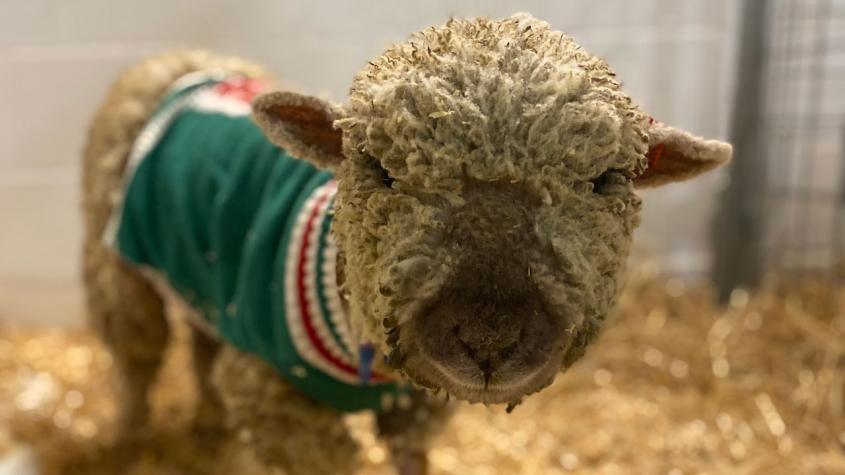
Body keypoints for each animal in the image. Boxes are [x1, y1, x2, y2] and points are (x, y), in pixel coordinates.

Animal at [84, 11, 732, 475]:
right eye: (379, 169)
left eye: (605, 179)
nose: (490, 339)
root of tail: (188, 63)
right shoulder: (277, 408)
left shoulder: (415, 411)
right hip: (113, 267)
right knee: (137, 361)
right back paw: (128, 443)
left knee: (201, 348)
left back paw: (209, 426)